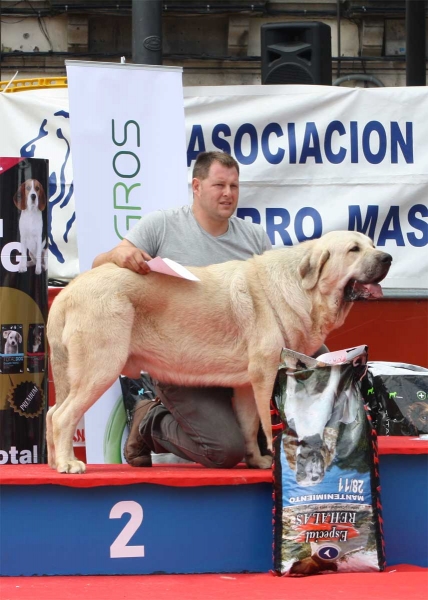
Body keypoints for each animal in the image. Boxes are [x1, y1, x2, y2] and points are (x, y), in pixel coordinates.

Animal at [46, 232, 392, 472]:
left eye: (372, 244)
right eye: (354, 249)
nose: (387, 257)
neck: (303, 288)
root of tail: (68, 291)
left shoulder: (246, 384)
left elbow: (249, 425)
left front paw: (256, 461)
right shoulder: (265, 372)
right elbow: (266, 423)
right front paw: (274, 456)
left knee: (52, 413)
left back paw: (53, 463)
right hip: (100, 367)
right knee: (62, 416)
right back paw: (68, 464)